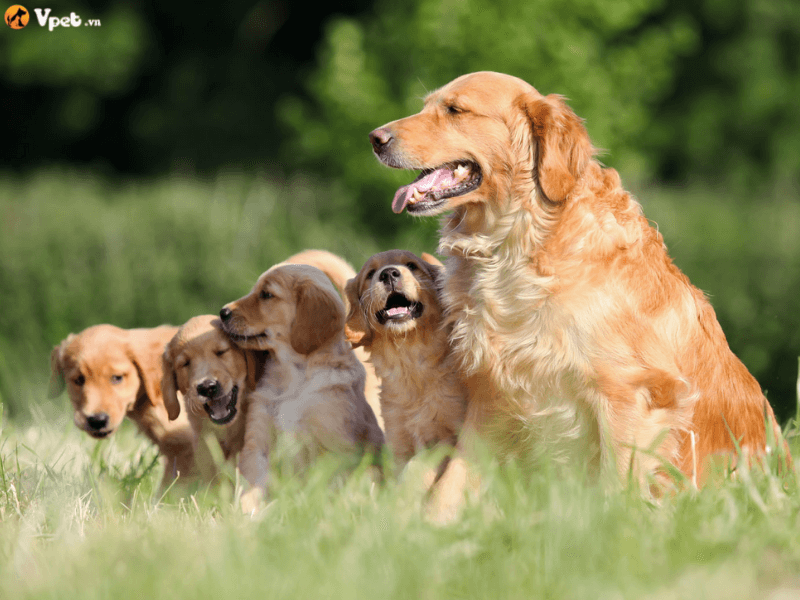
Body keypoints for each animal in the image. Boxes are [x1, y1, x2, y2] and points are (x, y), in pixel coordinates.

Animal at [216, 264, 384, 508]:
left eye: (266, 294)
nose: (222, 312)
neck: (294, 378)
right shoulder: (257, 443)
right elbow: (252, 487)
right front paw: (245, 513)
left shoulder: (333, 446)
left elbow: (326, 488)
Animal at [346, 250, 468, 510]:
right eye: (370, 273)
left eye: (412, 266)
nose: (389, 273)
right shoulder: (398, 442)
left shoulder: (450, 436)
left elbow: (418, 467)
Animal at [370, 70, 788, 508]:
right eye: (425, 106)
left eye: (455, 109)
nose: (375, 138)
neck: (516, 244)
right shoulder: (490, 394)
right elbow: (452, 481)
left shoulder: (627, 395)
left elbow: (616, 486)